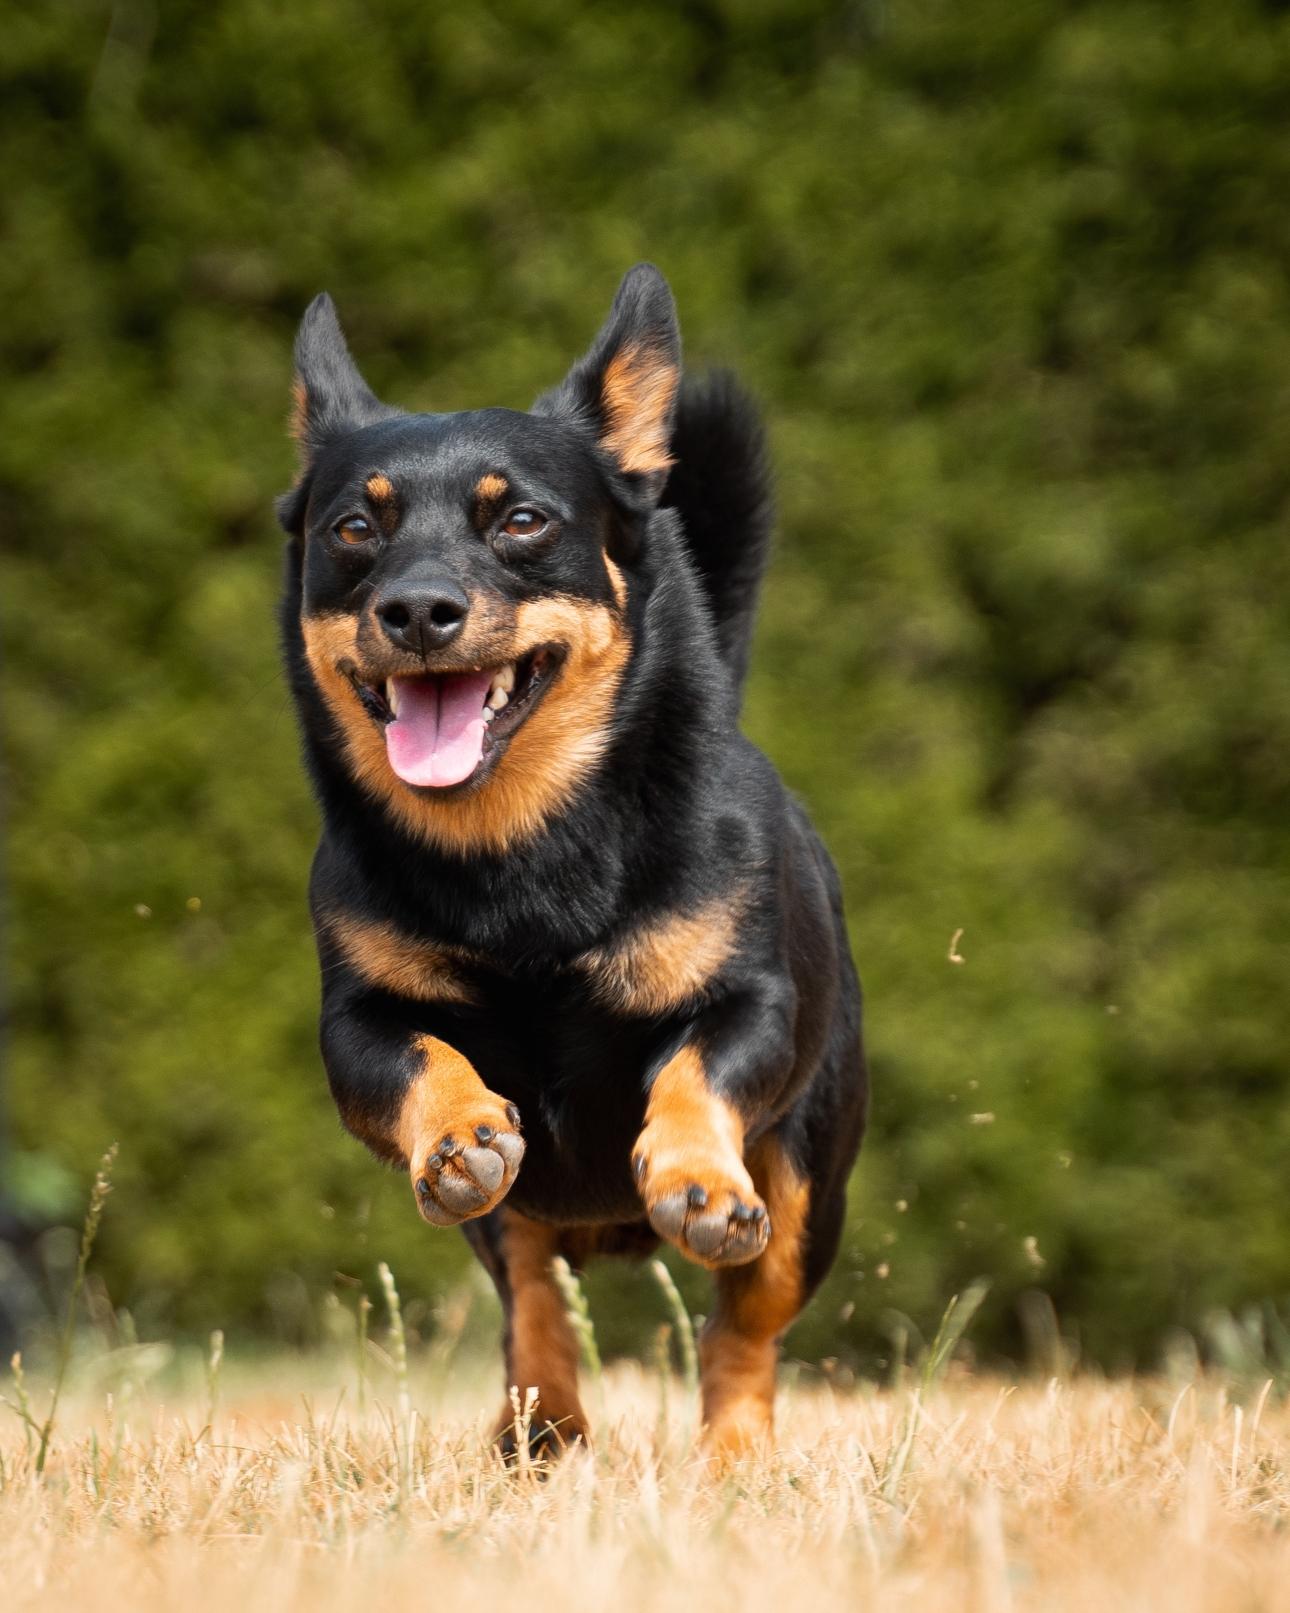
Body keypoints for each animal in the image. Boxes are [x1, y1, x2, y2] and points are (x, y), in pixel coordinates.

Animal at [278, 261, 864, 1451]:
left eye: (522, 520)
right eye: (355, 527)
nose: (417, 608)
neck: (517, 846)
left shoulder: (752, 1007)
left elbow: (694, 1069)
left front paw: (693, 1173)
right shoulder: (355, 1027)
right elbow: (421, 1060)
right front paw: (458, 1131)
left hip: (807, 1190)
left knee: (744, 1327)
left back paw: (738, 1453)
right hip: (516, 1224)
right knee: (532, 1288)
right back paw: (542, 1424)